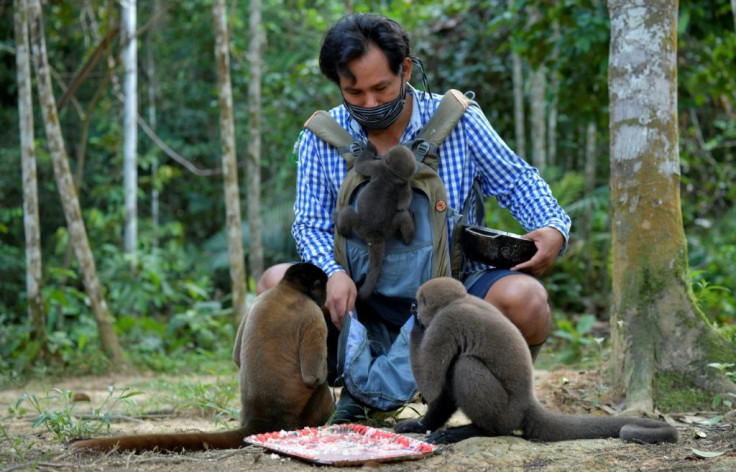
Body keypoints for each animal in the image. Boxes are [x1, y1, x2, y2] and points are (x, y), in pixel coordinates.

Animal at [69, 264, 334, 452]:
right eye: (323, 288)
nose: (327, 298)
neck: (287, 289)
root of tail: (262, 417)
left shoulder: (256, 301)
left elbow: (236, 357)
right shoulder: (313, 313)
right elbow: (313, 376)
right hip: (299, 415)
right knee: (320, 388)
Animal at [334, 142, 416, 300]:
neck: (393, 174)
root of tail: (374, 233)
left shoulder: (378, 167)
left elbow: (361, 165)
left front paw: (370, 147)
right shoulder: (403, 183)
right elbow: (402, 204)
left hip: (367, 225)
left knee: (348, 214)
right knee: (403, 216)